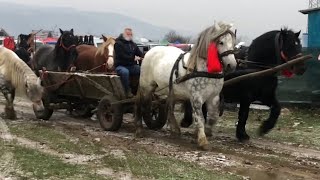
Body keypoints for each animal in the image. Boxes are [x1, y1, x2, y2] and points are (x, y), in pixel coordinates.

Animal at [135, 21, 238, 150]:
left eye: (233, 43)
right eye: (221, 42)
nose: (232, 65)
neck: (203, 70)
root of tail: (149, 51)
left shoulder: (213, 97)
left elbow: (213, 117)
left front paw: (205, 133)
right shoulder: (196, 97)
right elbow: (200, 118)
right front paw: (202, 140)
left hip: (171, 91)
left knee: (169, 107)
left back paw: (175, 129)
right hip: (146, 87)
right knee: (141, 104)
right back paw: (139, 129)